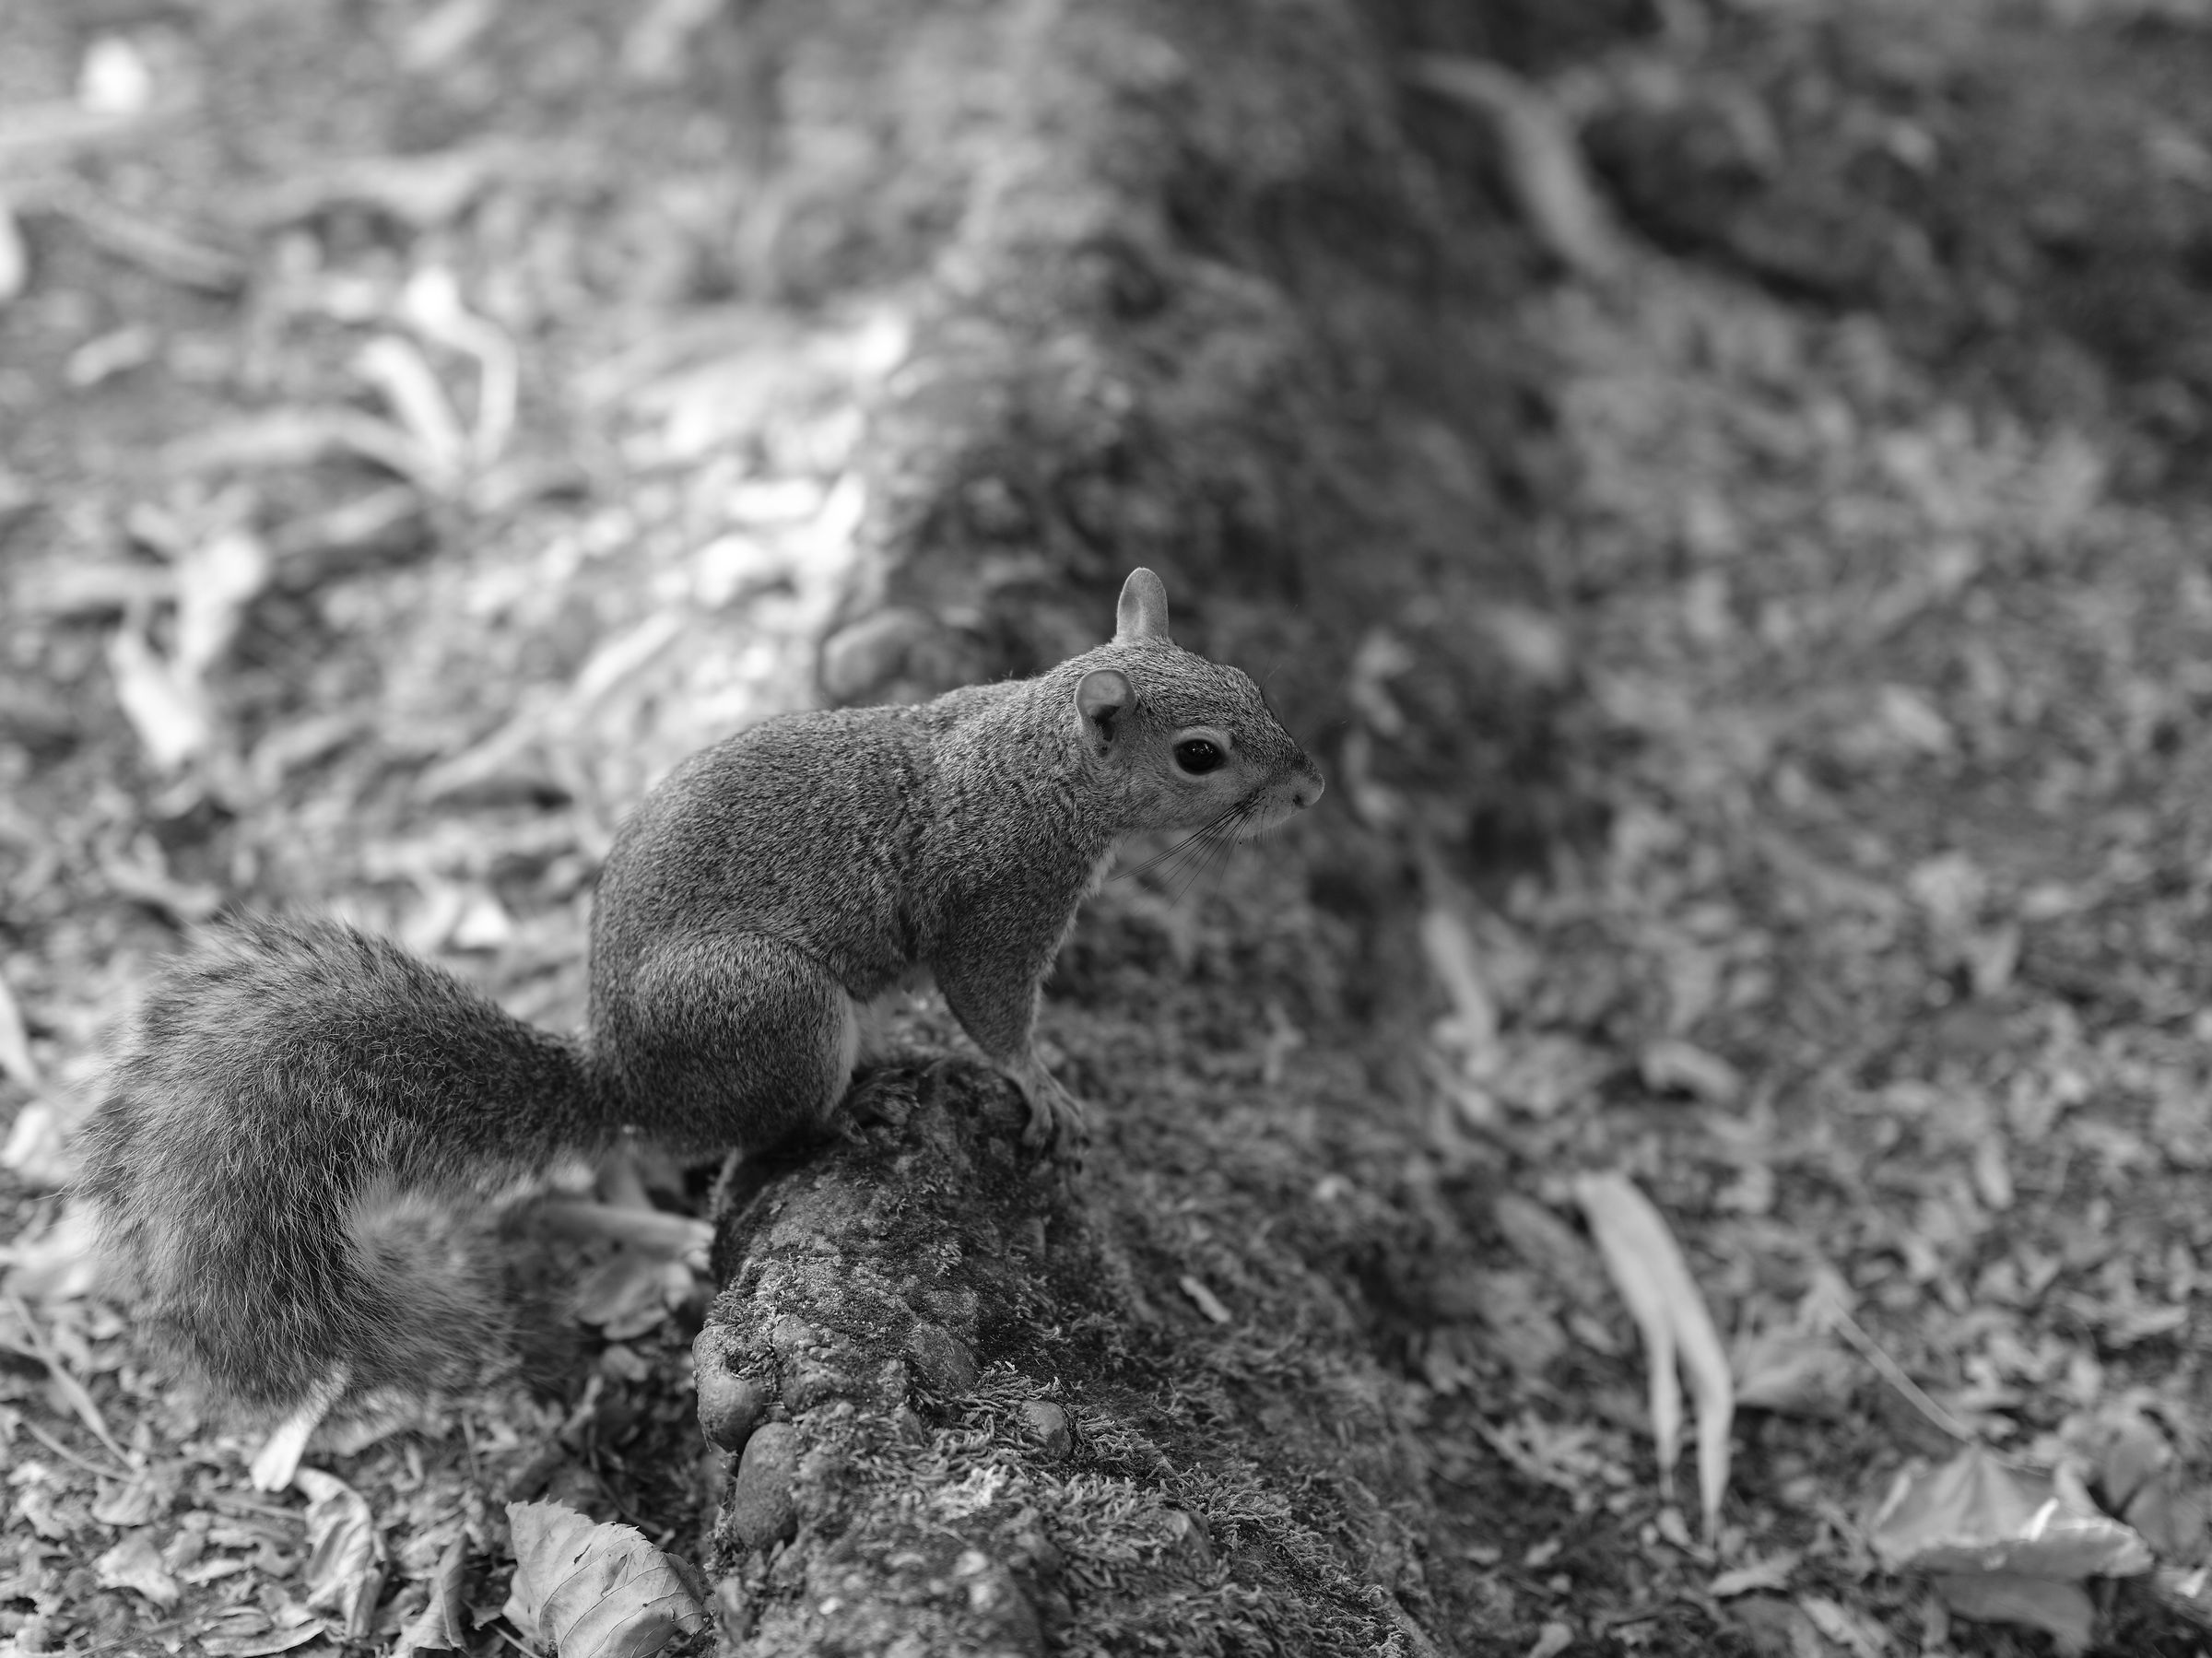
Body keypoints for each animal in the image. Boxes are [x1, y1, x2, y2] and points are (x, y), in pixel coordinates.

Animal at [76, 567, 1323, 1482]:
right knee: (757, 1139)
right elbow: (994, 1010)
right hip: (772, 1005)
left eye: (1248, 678)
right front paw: (1044, 1084)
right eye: (1200, 753)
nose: (1310, 790)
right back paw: (851, 1110)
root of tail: (629, 1078)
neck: (1034, 760)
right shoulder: (999, 903)